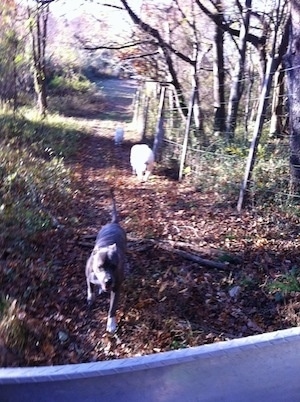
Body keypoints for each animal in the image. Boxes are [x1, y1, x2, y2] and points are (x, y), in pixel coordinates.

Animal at [85, 190, 126, 332]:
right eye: (100, 267)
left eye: (114, 266)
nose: (108, 280)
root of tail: (113, 223)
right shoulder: (89, 276)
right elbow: (90, 288)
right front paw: (90, 298)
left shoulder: (116, 288)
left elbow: (112, 308)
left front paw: (111, 324)